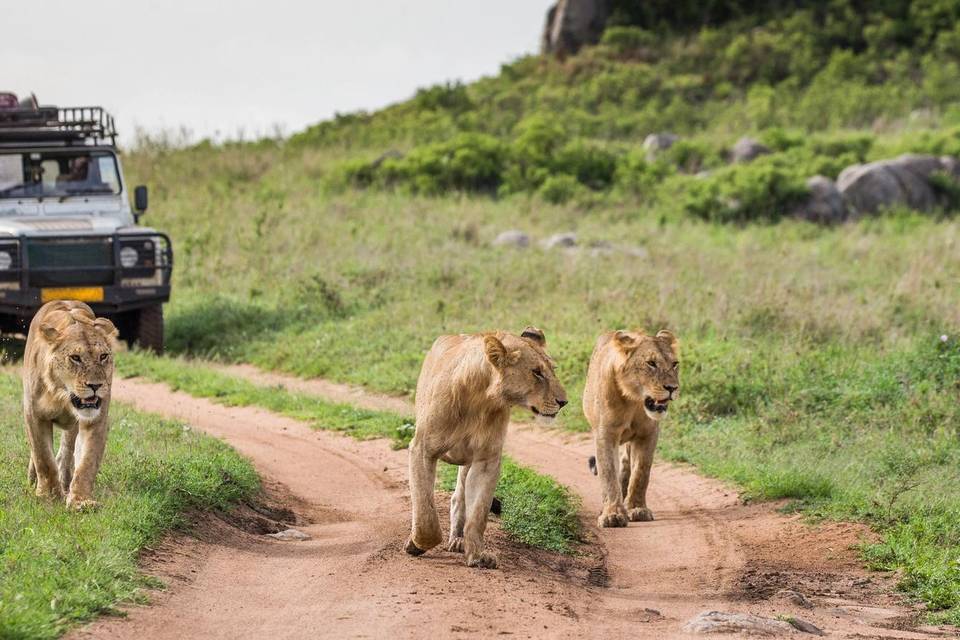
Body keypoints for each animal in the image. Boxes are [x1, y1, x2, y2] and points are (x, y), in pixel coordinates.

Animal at [23, 298, 118, 510]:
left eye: (103, 356)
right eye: (75, 358)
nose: (95, 385)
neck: (63, 395)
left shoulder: (95, 419)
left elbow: (87, 462)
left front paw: (81, 501)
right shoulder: (34, 414)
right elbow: (43, 457)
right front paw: (49, 496)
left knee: (67, 451)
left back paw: (65, 481)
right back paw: (33, 479)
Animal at [404, 328, 568, 568]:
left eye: (552, 370)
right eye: (537, 372)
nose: (564, 402)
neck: (481, 399)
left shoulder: (486, 460)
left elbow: (478, 514)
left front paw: (478, 556)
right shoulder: (422, 449)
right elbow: (425, 512)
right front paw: (416, 544)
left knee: (459, 498)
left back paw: (458, 540)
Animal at [580, 328, 680, 528]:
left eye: (674, 364)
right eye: (651, 363)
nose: (672, 388)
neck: (633, 400)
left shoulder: (648, 434)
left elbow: (641, 473)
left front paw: (637, 509)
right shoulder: (606, 434)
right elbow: (609, 473)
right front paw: (612, 515)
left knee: (626, 464)